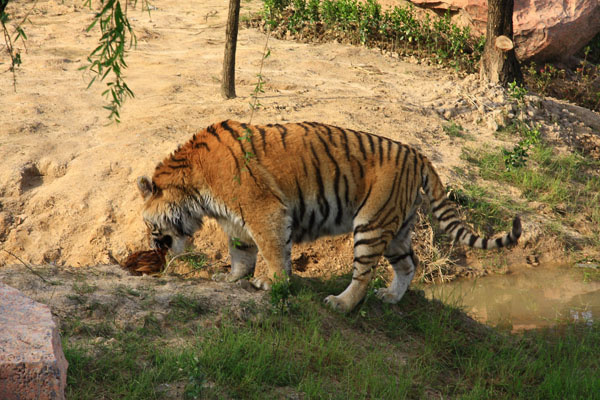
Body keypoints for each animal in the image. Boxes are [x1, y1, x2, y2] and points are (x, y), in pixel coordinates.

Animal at [137, 119, 520, 312]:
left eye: (149, 225)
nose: (154, 248)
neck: (193, 188)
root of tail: (418, 155)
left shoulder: (264, 210)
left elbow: (274, 253)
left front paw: (273, 284)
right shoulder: (238, 221)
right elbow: (241, 254)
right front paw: (231, 279)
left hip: (371, 224)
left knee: (364, 274)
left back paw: (341, 303)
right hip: (397, 229)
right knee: (410, 264)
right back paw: (391, 297)